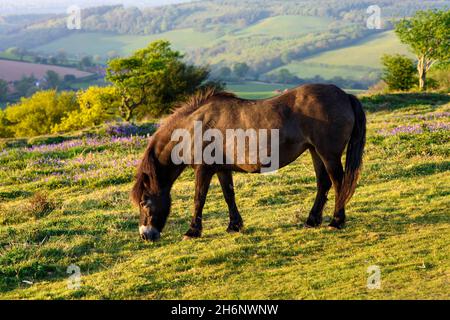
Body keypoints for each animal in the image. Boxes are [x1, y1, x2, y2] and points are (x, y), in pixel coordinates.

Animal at [130, 84, 366, 241]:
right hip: (315, 152)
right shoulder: (221, 169)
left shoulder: (204, 170)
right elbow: (229, 195)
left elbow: (199, 198)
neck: (193, 128)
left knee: (339, 183)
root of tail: (345, 95)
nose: (145, 235)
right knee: (323, 184)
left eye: (143, 202)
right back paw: (312, 220)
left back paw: (336, 221)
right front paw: (234, 226)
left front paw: (192, 231)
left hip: (329, 154)